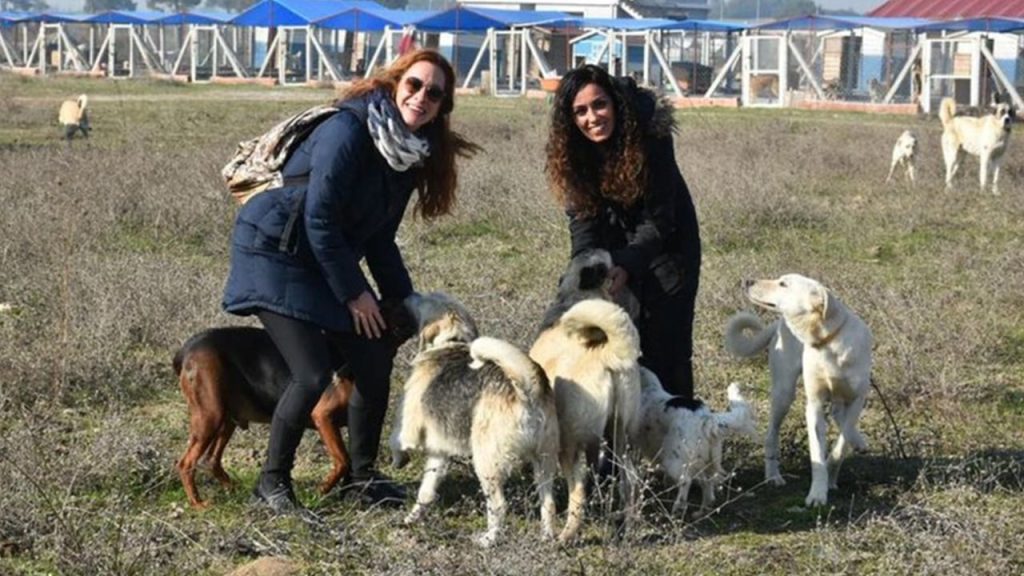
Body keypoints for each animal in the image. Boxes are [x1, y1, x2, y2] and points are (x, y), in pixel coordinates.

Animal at [174, 301, 413, 506]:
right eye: (387, 307)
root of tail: (186, 348)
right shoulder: (322, 416)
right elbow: (343, 459)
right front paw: (323, 489)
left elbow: (352, 460)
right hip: (210, 415)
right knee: (186, 463)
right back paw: (198, 503)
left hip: (226, 419)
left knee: (211, 460)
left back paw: (234, 489)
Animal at [389, 291, 561, 545]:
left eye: (427, 298)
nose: (409, 294)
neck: (452, 341)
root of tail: (527, 390)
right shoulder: (439, 451)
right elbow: (426, 491)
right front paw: (413, 517)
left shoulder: (408, 426)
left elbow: (395, 440)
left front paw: (398, 460)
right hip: (544, 461)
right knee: (548, 503)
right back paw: (547, 537)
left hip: (486, 462)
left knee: (499, 506)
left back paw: (488, 539)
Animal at [532, 295, 634, 541]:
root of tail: (604, 353)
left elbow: (546, 497)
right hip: (621, 436)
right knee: (629, 482)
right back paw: (627, 530)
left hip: (568, 445)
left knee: (578, 492)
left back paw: (566, 536)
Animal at [634, 366, 757, 516]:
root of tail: (706, 419)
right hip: (705, 462)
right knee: (707, 484)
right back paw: (701, 512)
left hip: (674, 461)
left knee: (686, 481)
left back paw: (678, 508)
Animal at [729, 272, 872, 502]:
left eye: (783, 284)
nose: (747, 281)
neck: (828, 342)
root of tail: (779, 324)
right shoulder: (814, 404)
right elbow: (818, 455)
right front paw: (818, 493)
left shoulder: (857, 399)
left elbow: (842, 442)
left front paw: (834, 470)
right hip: (784, 394)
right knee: (771, 436)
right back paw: (773, 476)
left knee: (839, 416)